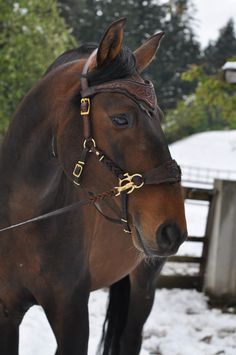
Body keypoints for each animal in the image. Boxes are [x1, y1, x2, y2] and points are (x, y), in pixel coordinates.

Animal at [0, 18, 186, 354]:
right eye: (121, 119)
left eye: (160, 116)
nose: (172, 229)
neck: (24, 220)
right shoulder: (6, 312)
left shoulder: (72, 315)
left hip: (144, 284)